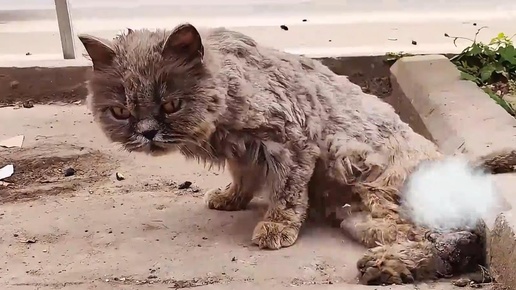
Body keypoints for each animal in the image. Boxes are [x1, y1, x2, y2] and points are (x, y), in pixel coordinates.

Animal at [77, 23, 516, 286]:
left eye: (171, 105)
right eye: (120, 112)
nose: (147, 133)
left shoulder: (294, 141)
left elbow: (287, 192)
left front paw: (276, 226)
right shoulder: (244, 153)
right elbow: (243, 175)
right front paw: (233, 198)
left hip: (370, 179)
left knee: (462, 236)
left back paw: (388, 264)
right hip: (359, 219)